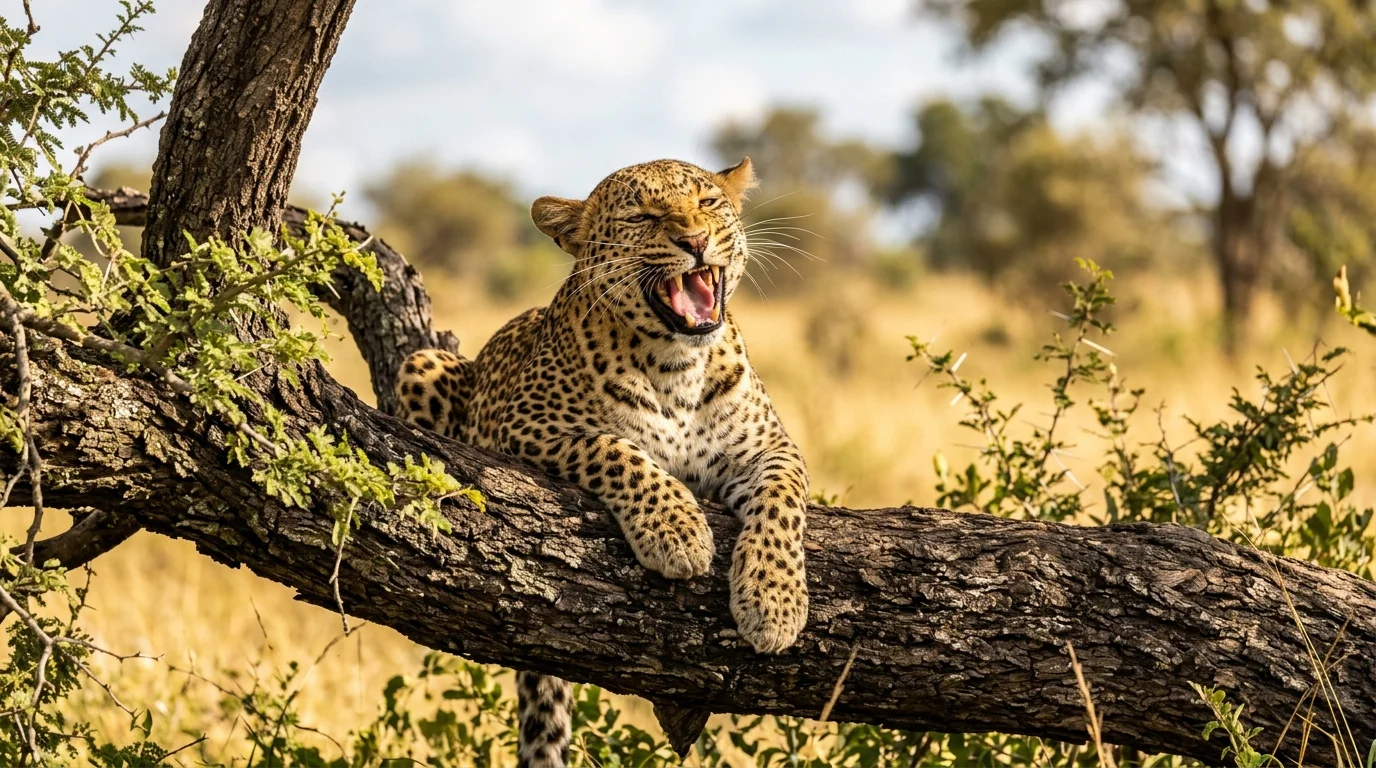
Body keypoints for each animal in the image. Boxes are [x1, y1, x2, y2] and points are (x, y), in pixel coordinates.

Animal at [394, 158, 809, 768]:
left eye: (707, 203)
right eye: (643, 217)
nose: (695, 240)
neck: (678, 363)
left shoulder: (770, 448)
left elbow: (781, 504)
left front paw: (773, 603)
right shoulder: (528, 427)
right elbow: (617, 450)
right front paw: (679, 534)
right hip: (423, 363)